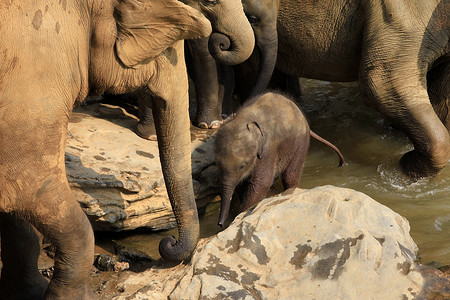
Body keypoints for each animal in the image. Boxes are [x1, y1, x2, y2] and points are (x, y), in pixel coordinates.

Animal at [214, 92, 344, 226]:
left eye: (242, 166)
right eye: (217, 164)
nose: (220, 224)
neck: (242, 120)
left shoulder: (267, 150)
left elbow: (261, 183)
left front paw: (242, 213)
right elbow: (242, 184)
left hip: (301, 142)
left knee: (290, 176)